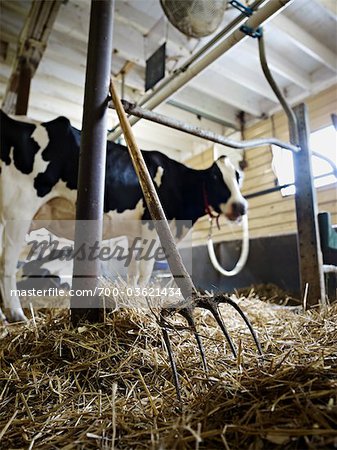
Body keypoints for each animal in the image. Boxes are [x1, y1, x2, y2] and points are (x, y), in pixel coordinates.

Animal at [0, 108, 247, 320]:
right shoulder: (151, 227)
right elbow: (144, 272)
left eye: (238, 177)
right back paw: (16, 314)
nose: (241, 206)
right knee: (7, 262)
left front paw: (133, 298)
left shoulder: (134, 233)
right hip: (20, 207)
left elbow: (133, 272)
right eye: (215, 177)